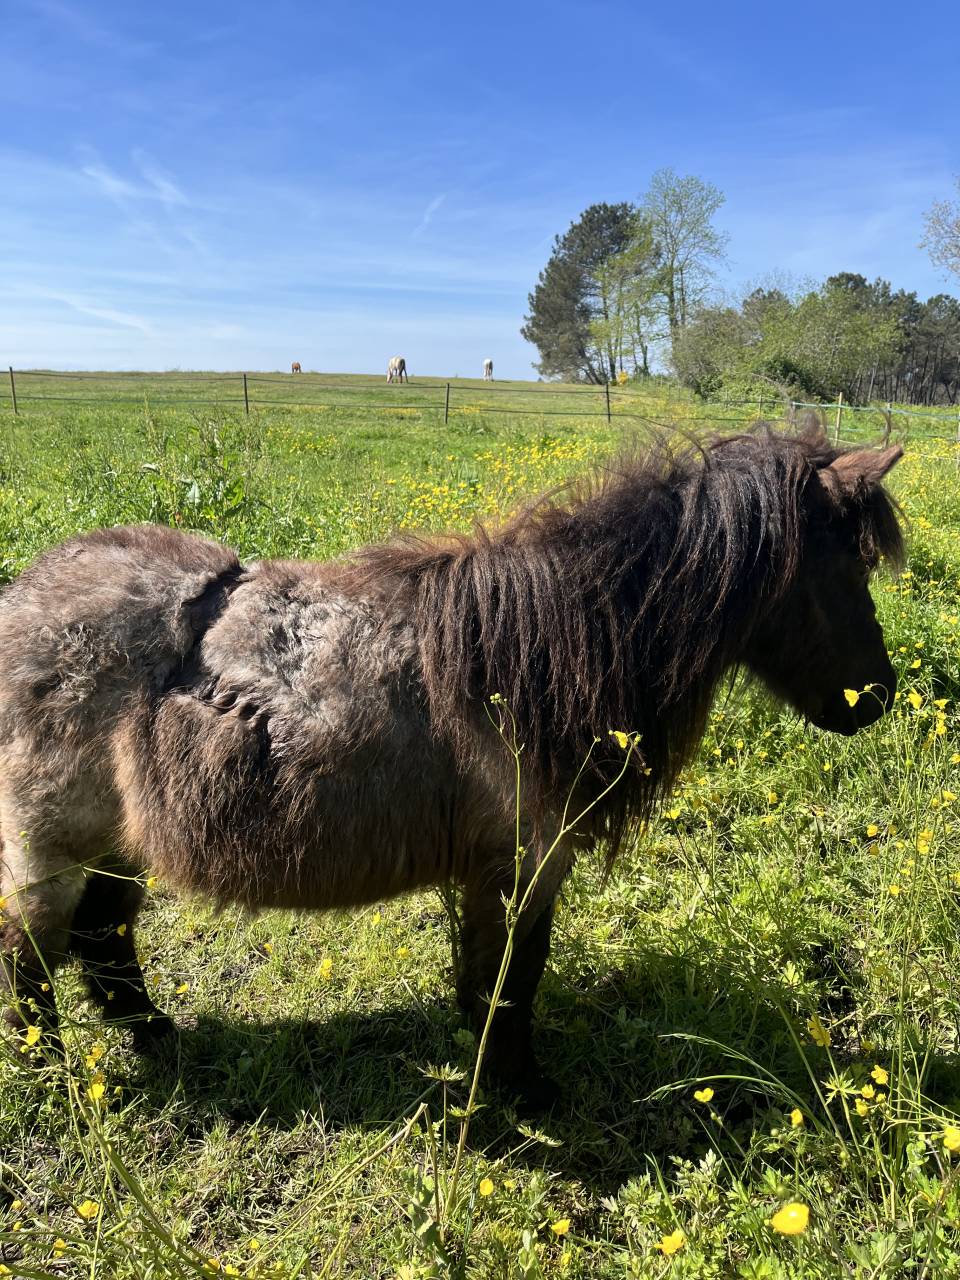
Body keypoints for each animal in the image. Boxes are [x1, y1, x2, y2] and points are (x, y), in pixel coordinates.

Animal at [0, 425, 903, 1106]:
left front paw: (495, 1075)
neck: (548, 652)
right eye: (843, 567)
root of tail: (25, 593)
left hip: (119, 842)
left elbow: (486, 978)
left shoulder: (496, 866)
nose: (877, 699)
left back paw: (153, 1036)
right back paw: (48, 1072)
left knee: (104, 935)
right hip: (49, 841)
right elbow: (513, 979)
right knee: (32, 954)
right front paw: (525, 1093)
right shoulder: (524, 861)